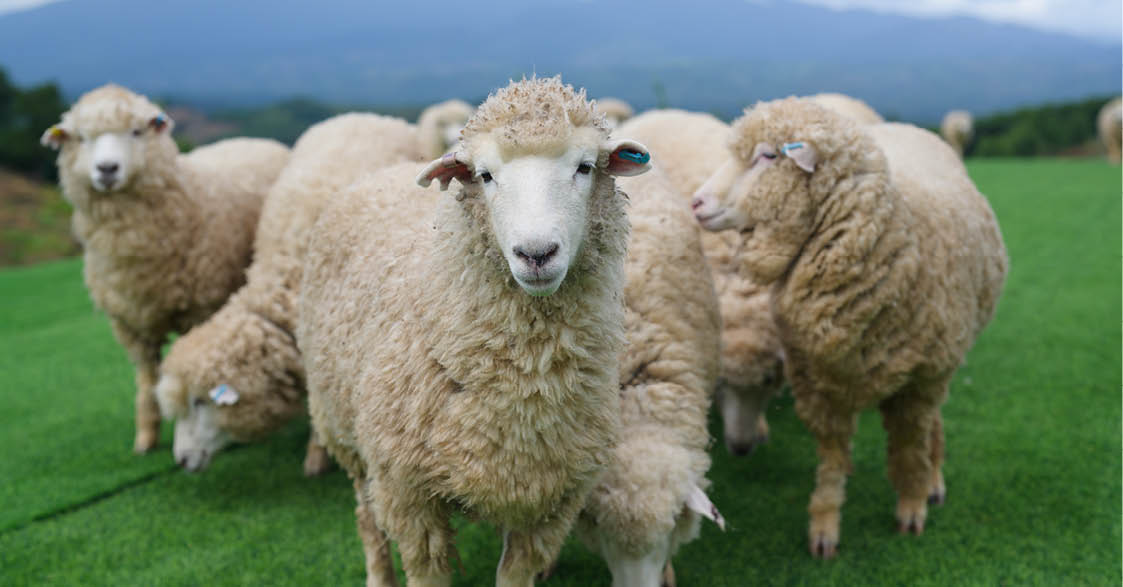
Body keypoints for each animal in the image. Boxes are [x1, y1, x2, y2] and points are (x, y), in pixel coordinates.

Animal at [40, 83, 290, 453]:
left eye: (136, 131)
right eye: (81, 138)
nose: (107, 168)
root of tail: (253, 138)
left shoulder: (198, 309)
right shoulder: (129, 323)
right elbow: (146, 378)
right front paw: (145, 437)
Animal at [297, 76, 654, 586]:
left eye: (585, 167)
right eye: (485, 176)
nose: (536, 253)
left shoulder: (551, 501)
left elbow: (516, 572)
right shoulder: (408, 496)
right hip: (346, 435)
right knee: (367, 519)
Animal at [691, 97, 1008, 559]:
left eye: (768, 156)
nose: (695, 202)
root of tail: (908, 127)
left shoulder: (918, 381)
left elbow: (909, 448)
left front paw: (911, 506)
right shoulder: (818, 384)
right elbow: (832, 457)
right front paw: (825, 525)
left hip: (942, 361)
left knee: (932, 424)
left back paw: (932, 479)